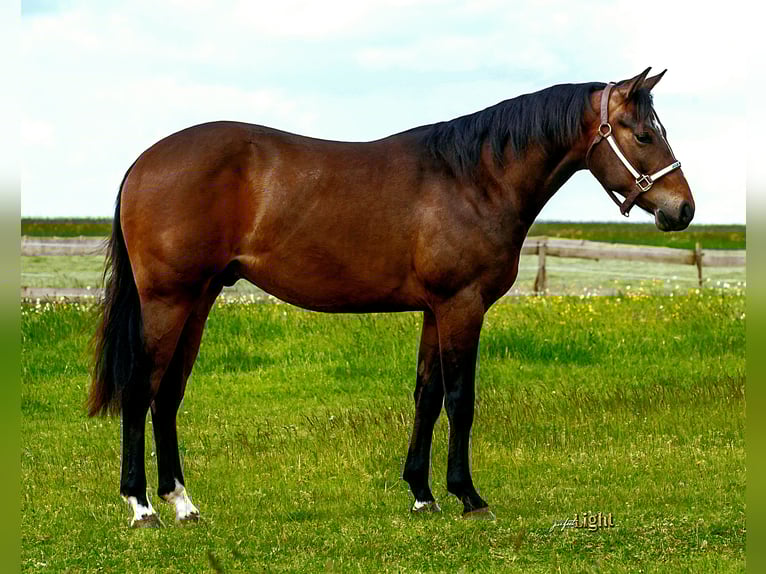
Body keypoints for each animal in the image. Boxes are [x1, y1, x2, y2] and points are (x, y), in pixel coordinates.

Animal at [88, 67, 694, 527]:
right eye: (643, 135)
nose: (683, 209)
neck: (473, 178)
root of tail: (144, 162)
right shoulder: (461, 305)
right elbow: (460, 400)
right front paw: (468, 496)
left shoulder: (434, 310)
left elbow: (426, 397)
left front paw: (422, 494)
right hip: (168, 301)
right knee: (140, 391)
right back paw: (141, 506)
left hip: (199, 299)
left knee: (167, 396)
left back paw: (182, 503)